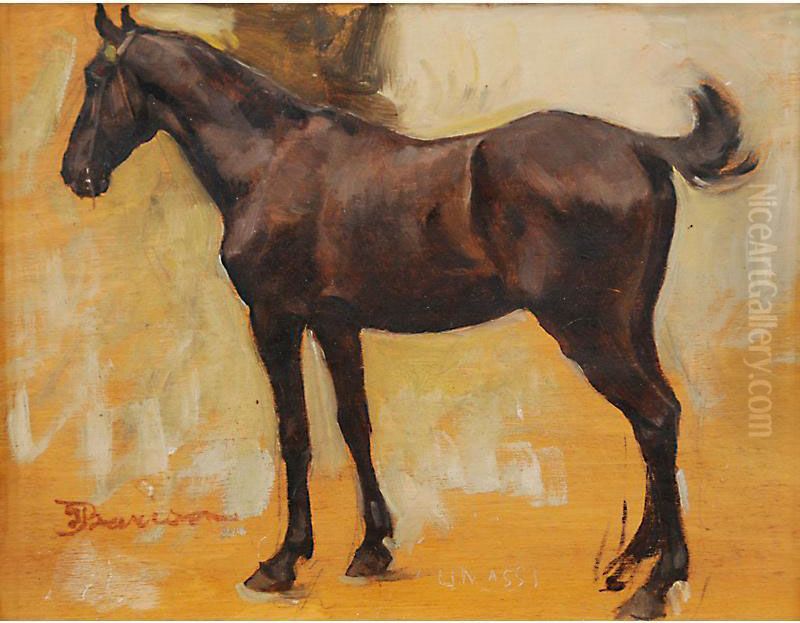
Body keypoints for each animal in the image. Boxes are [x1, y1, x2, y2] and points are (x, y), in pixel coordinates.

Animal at [62, 6, 757, 619]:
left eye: (95, 79)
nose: (75, 175)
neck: (271, 160)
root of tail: (640, 145)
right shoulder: (336, 323)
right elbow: (354, 424)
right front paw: (372, 548)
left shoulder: (274, 319)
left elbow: (295, 433)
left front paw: (284, 561)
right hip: (628, 325)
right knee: (657, 421)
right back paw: (630, 562)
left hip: (589, 330)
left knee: (655, 418)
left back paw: (656, 585)